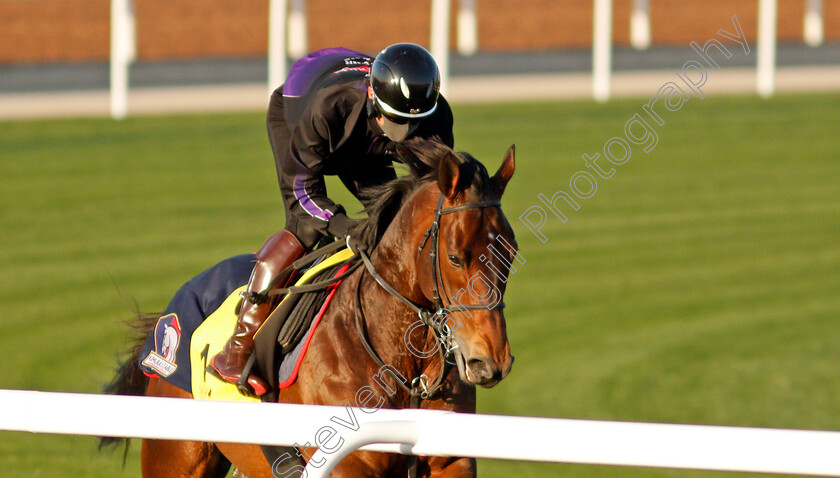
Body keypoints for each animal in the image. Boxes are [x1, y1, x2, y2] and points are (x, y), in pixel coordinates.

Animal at [99, 139, 520, 478]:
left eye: (511, 253)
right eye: (455, 256)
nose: (491, 361)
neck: (401, 364)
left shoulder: (451, 458)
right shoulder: (345, 462)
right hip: (175, 456)